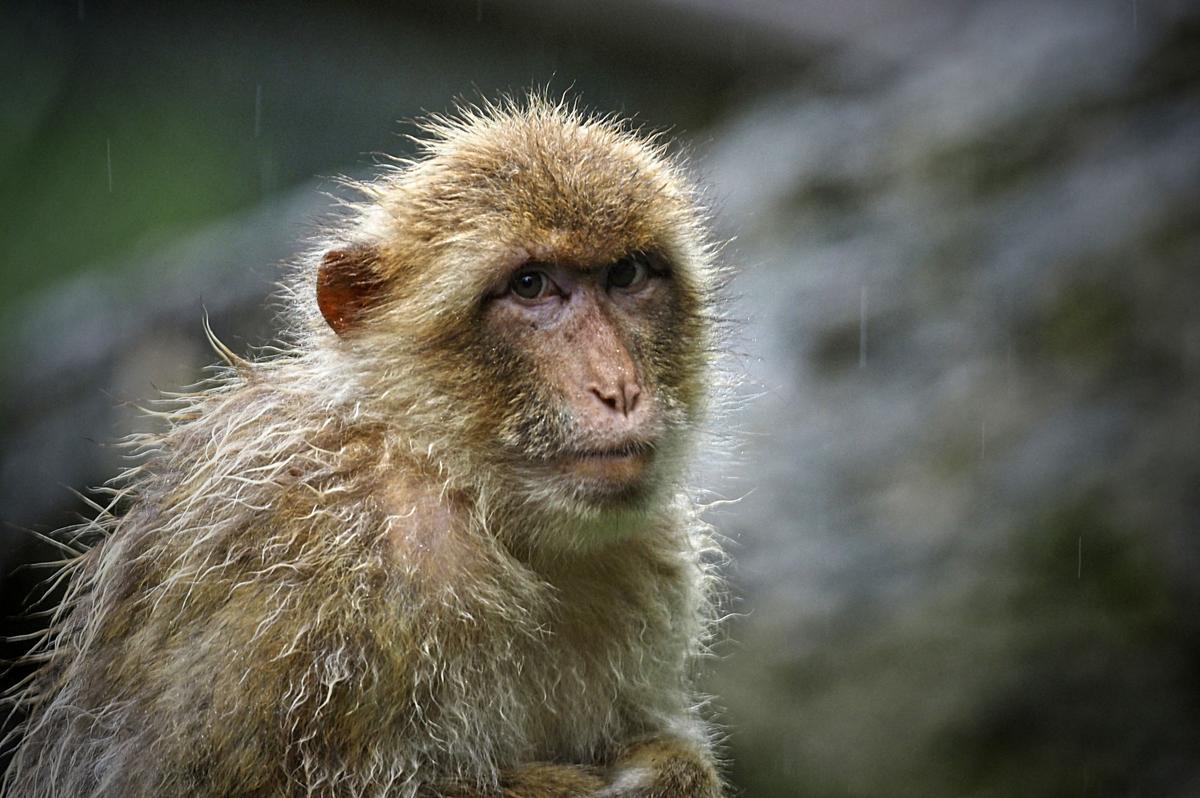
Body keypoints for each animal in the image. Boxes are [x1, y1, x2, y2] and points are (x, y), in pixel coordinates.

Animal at [3, 96, 727, 798]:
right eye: (530, 285)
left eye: (627, 274)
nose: (618, 389)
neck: (459, 487)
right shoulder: (308, 567)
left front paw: (672, 772)